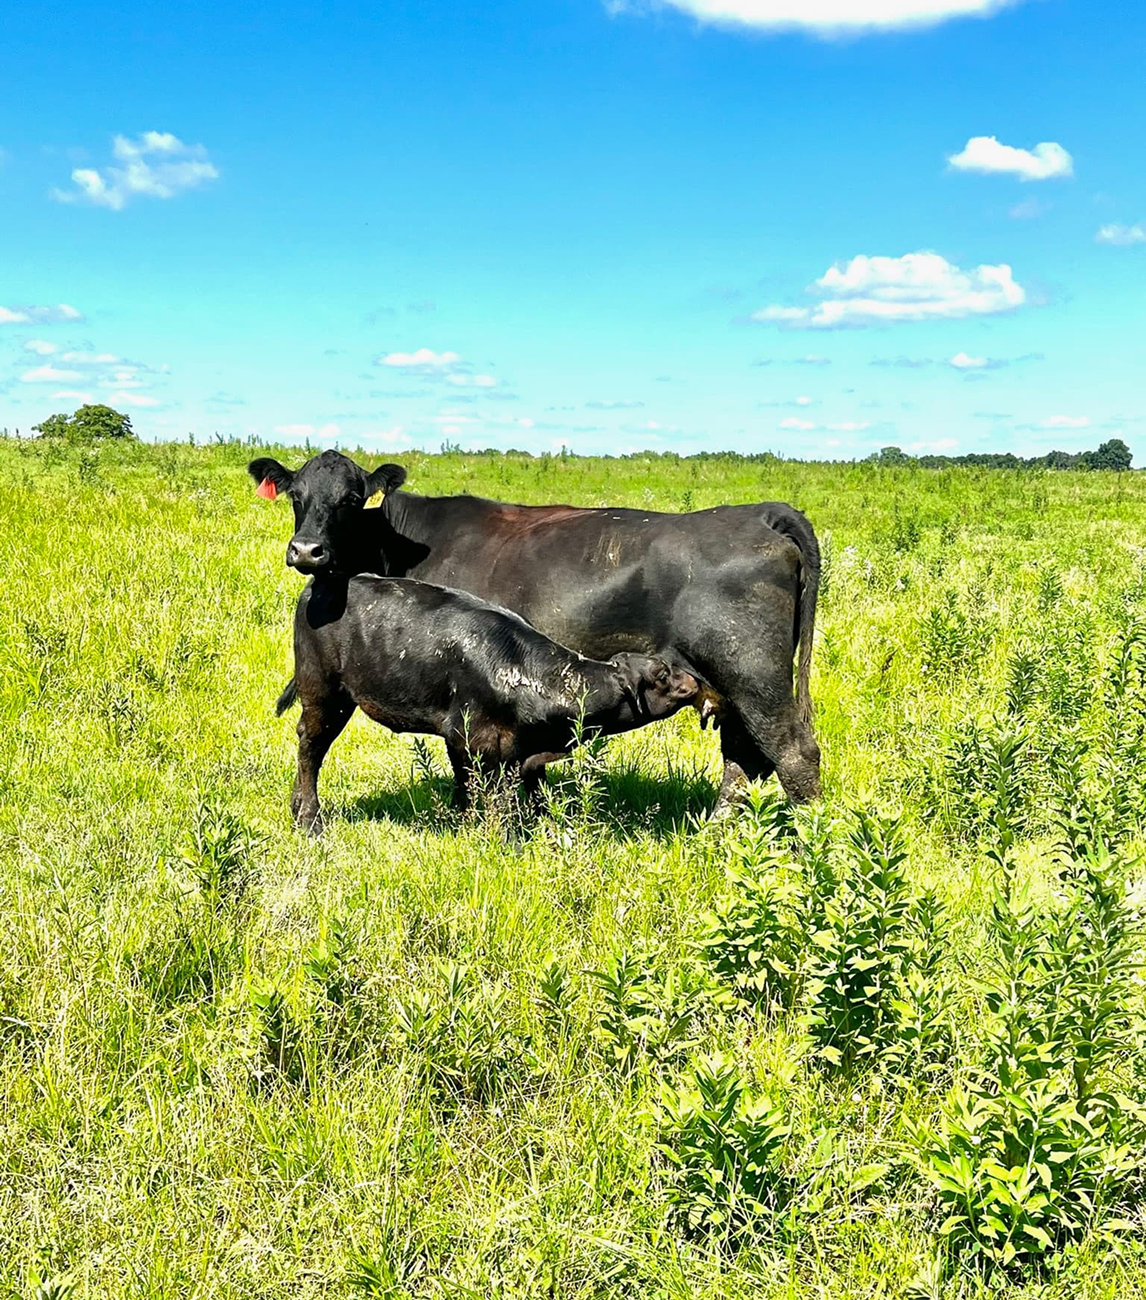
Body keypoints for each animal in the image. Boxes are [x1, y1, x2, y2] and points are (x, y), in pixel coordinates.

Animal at [277, 573, 699, 833]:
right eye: (662, 673)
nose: (695, 681)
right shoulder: (476, 739)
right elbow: (497, 801)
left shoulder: (510, 752)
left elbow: (507, 793)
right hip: (323, 694)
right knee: (310, 747)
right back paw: (309, 819)